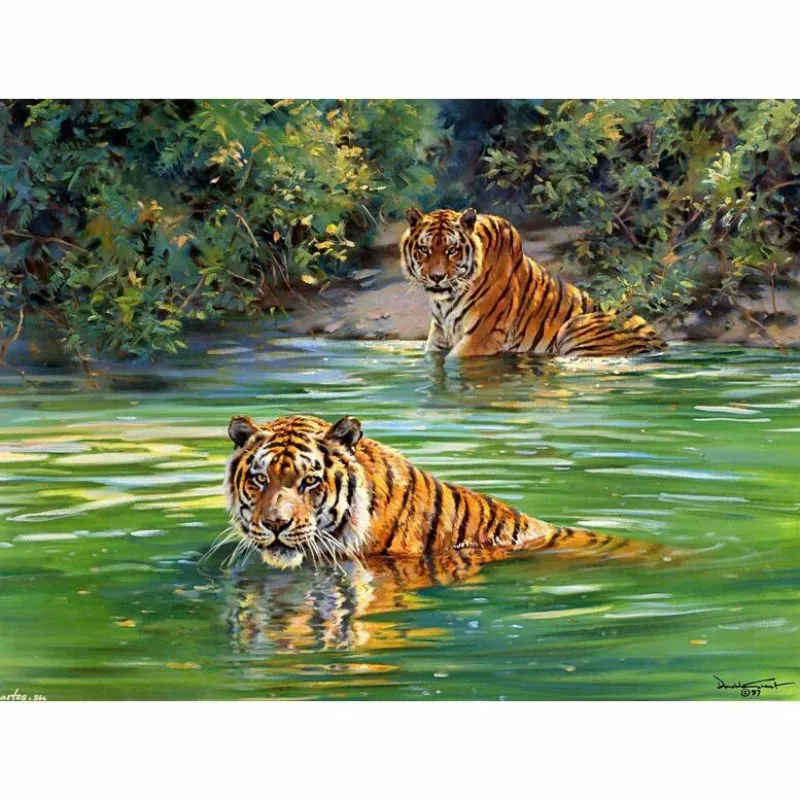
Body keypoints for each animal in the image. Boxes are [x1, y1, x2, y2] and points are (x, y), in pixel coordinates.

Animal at [400, 207, 666, 358]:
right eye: (424, 249)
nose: (436, 277)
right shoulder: (439, 338)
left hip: (576, 328)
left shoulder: (481, 336)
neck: (444, 302)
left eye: (452, 250)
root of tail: (661, 342)